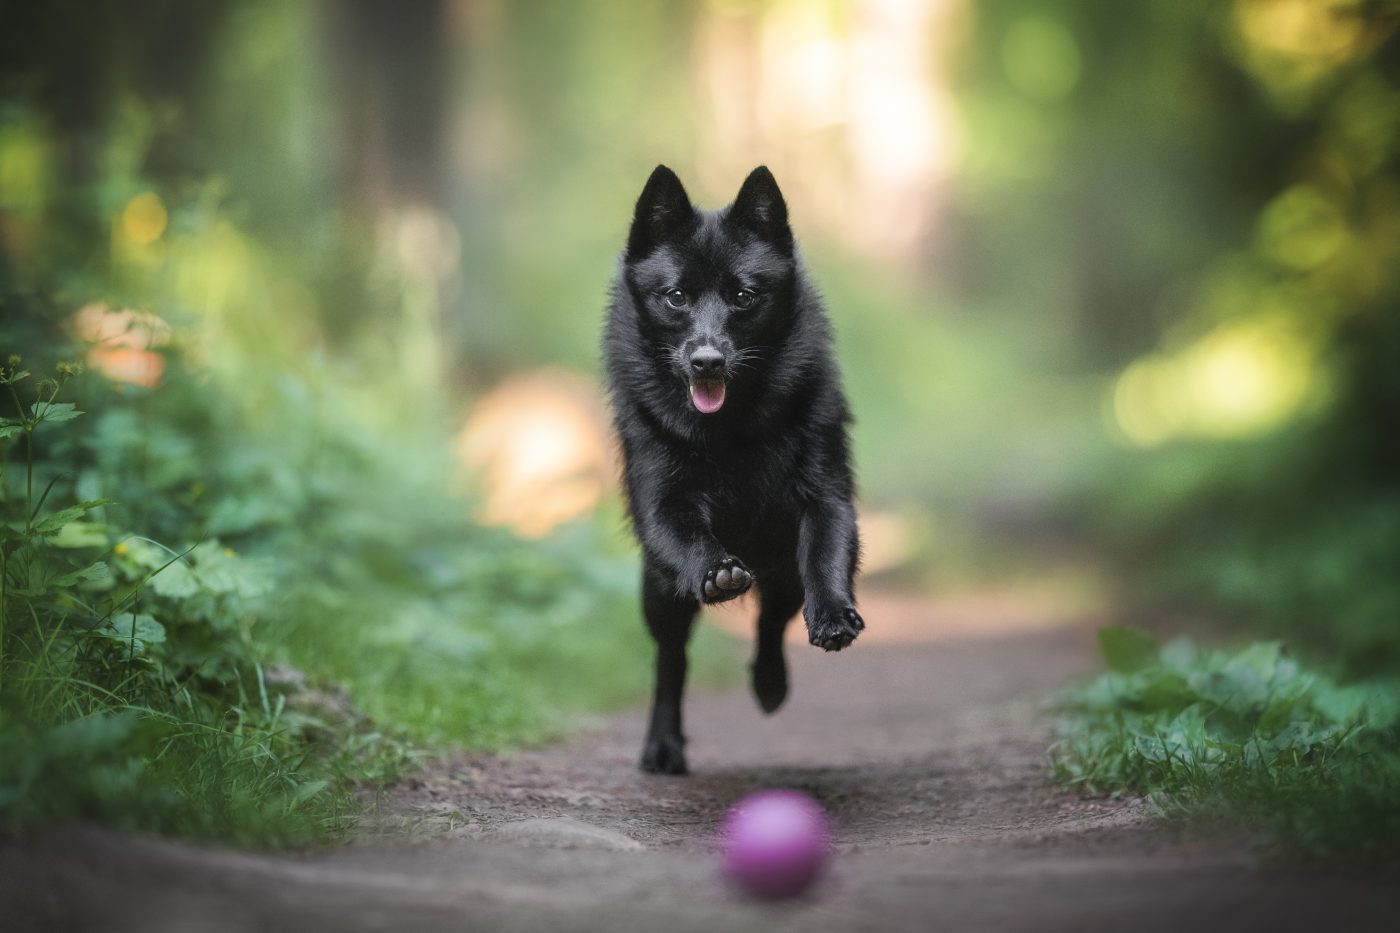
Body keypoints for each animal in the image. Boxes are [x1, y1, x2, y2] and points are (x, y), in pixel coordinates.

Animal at [602, 165, 862, 767]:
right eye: (676, 297)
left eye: (744, 296)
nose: (707, 362)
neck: (730, 431)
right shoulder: (662, 502)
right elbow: (687, 535)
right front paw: (715, 569)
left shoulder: (825, 495)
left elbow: (827, 553)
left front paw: (834, 614)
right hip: (659, 594)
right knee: (671, 660)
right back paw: (663, 746)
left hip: (782, 570)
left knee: (771, 621)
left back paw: (769, 685)